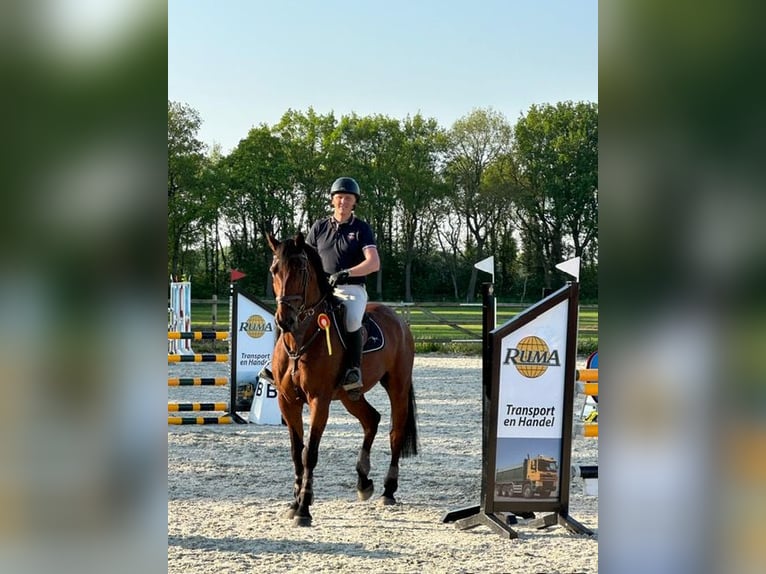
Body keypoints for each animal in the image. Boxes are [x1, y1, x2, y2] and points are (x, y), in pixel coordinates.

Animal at [266, 231, 418, 527]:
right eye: (274, 270)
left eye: (301, 270)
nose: (284, 320)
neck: (301, 339)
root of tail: (398, 318)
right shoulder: (287, 401)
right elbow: (296, 452)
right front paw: (294, 503)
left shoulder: (319, 401)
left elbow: (310, 453)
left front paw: (304, 509)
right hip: (350, 395)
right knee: (371, 420)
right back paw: (363, 481)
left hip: (397, 385)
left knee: (395, 432)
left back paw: (388, 490)